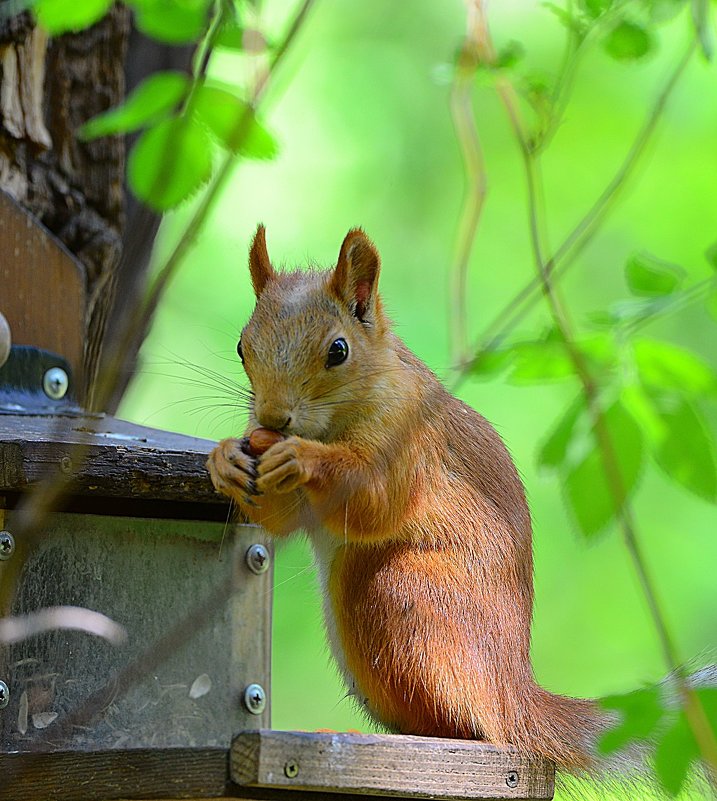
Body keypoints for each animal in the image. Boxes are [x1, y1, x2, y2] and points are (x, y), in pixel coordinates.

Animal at [207, 223, 604, 768]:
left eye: (338, 350)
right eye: (242, 346)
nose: (272, 419)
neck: (332, 425)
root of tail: (511, 689)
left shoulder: (408, 439)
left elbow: (376, 503)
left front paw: (302, 458)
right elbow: (280, 516)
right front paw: (224, 458)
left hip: (402, 589)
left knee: (469, 725)